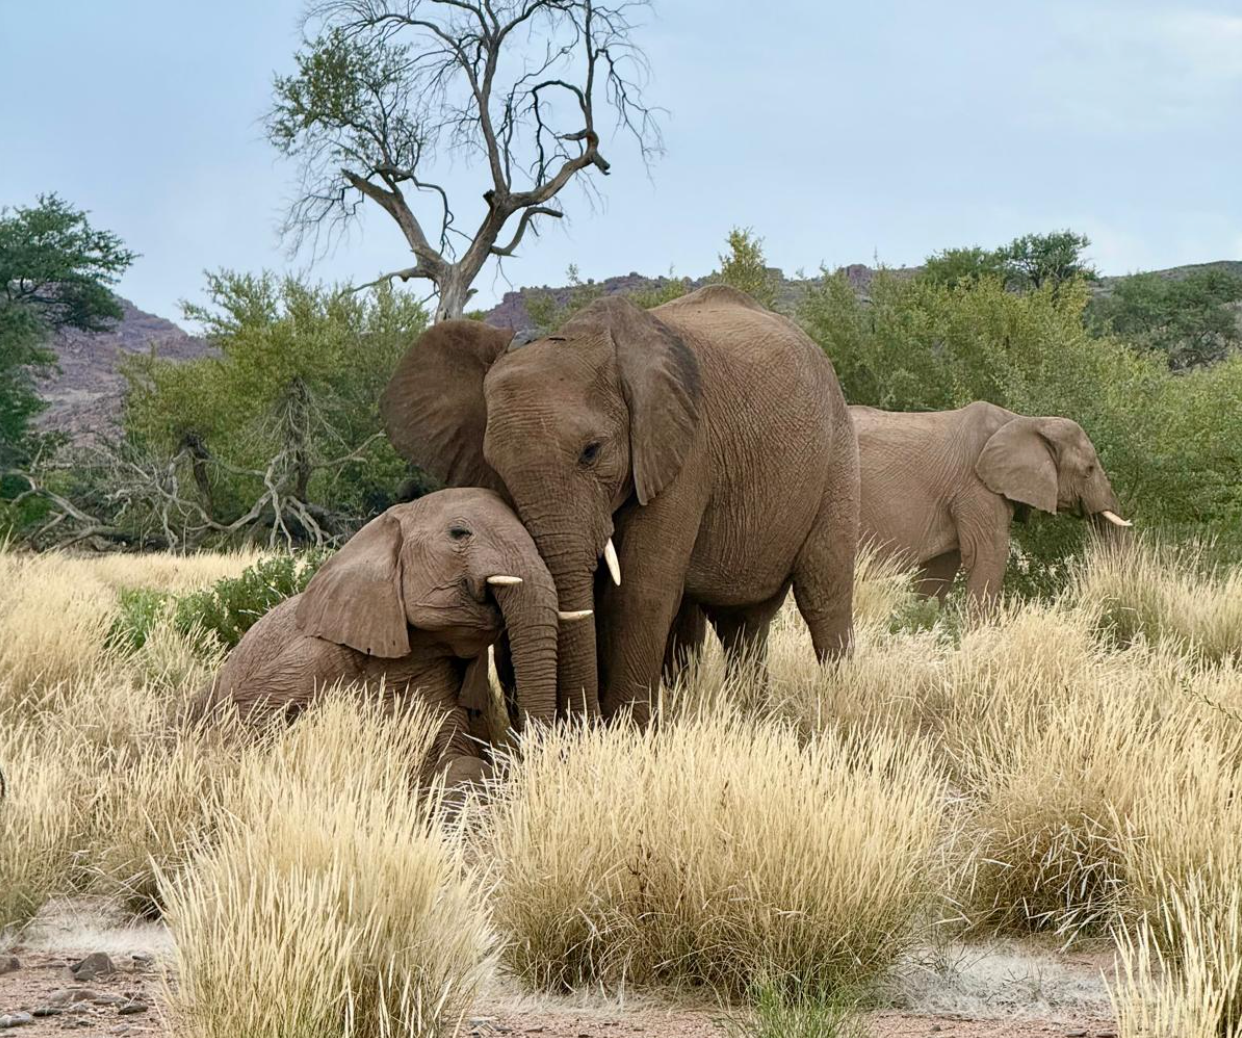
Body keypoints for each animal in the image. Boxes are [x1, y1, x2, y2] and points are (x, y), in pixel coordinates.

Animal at [380, 285, 859, 722]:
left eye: (592, 452)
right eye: (495, 466)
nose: (572, 725)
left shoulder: (684, 454)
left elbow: (639, 591)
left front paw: (624, 733)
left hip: (838, 451)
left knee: (823, 596)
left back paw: (839, 707)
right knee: (739, 624)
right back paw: (747, 717)